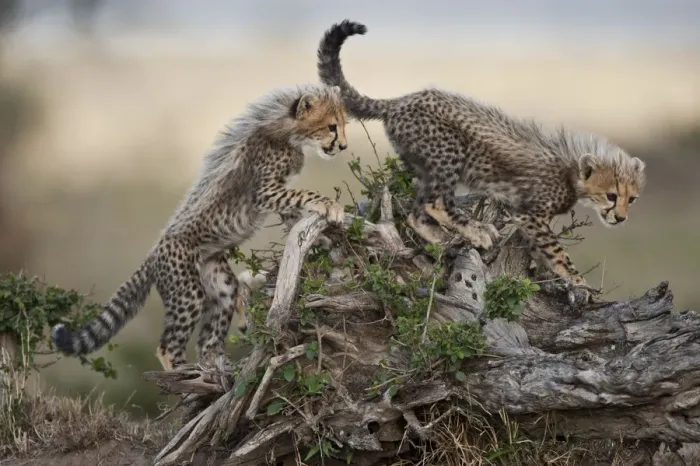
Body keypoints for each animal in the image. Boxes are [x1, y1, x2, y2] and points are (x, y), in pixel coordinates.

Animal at [51, 83, 349, 370]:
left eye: (343, 124)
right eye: (331, 126)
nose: (343, 146)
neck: (285, 130)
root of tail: (153, 252)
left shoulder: (277, 194)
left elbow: (294, 213)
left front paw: (323, 238)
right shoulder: (265, 192)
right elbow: (304, 194)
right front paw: (330, 207)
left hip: (219, 282)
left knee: (210, 334)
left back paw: (215, 366)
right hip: (187, 291)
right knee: (167, 347)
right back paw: (186, 372)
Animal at [316, 20, 646, 297]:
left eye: (631, 199)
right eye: (611, 195)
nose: (620, 218)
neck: (572, 171)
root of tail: (401, 100)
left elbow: (540, 252)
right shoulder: (530, 214)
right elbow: (558, 252)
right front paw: (578, 282)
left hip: (424, 164)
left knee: (417, 209)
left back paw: (440, 237)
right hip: (448, 151)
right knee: (437, 202)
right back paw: (476, 231)